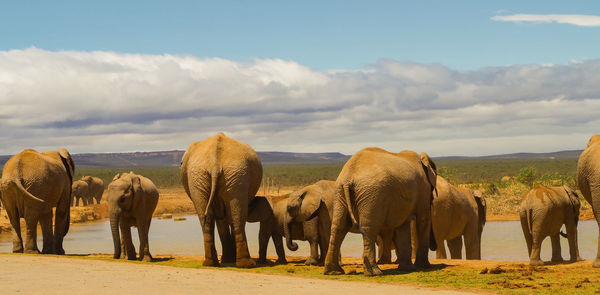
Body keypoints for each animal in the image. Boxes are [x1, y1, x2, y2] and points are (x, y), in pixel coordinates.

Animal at [179, 132, 262, 268]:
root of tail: (214, 163)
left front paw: (227, 259)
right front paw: (228, 259)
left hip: (204, 176)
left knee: (208, 220)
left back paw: (211, 263)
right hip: (232, 174)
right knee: (237, 218)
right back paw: (246, 264)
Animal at [324, 148, 436, 278]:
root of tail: (349, 175)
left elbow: (403, 226)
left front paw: (407, 269)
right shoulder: (423, 189)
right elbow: (423, 220)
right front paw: (424, 266)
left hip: (340, 192)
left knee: (338, 227)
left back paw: (333, 272)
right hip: (372, 194)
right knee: (369, 228)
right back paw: (374, 273)